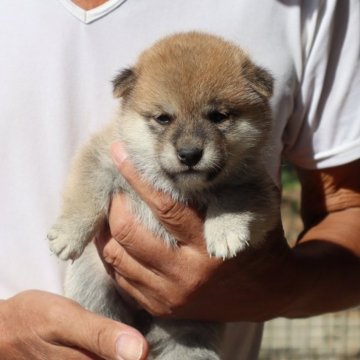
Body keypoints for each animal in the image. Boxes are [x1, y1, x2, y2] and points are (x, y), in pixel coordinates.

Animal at [47, 32, 278, 358]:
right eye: (163, 118)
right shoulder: (103, 157)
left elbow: (232, 199)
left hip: (190, 327)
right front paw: (69, 235)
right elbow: (86, 193)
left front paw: (225, 233)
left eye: (219, 116)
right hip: (93, 288)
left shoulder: (256, 187)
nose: (190, 154)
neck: (178, 186)